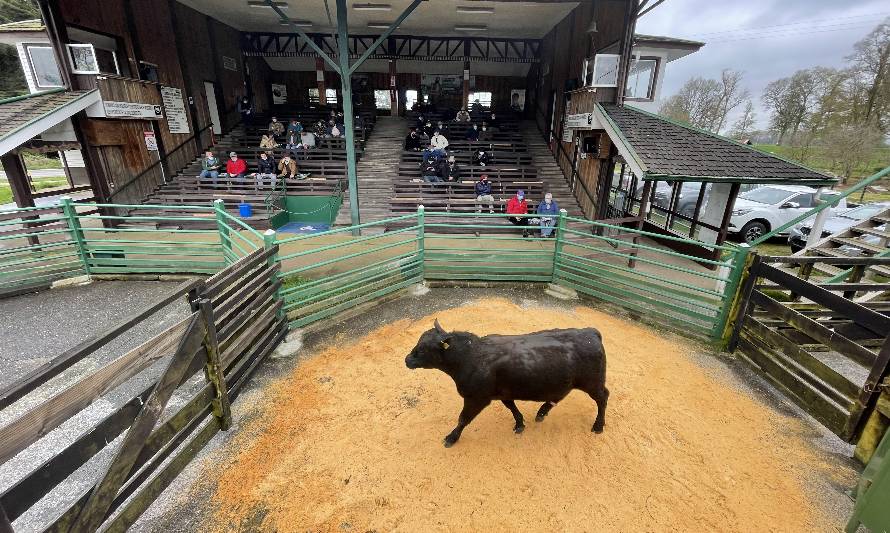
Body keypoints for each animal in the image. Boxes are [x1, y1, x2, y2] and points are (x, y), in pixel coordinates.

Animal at [408, 318, 604, 446]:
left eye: (423, 349)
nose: (407, 360)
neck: (470, 356)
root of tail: (591, 332)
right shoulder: (503, 392)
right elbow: (511, 406)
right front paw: (520, 424)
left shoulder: (476, 398)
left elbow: (463, 418)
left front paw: (451, 437)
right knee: (558, 397)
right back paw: (541, 412)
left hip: (593, 383)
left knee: (602, 398)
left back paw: (598, 426)